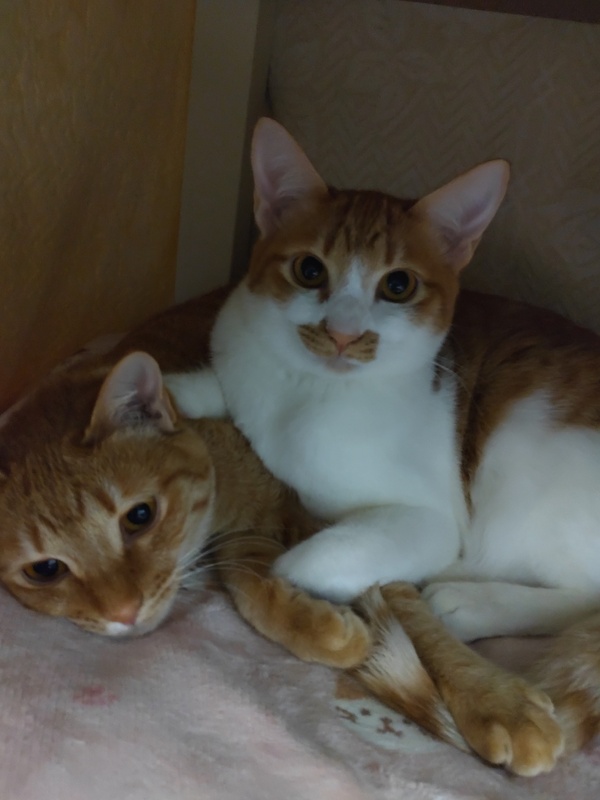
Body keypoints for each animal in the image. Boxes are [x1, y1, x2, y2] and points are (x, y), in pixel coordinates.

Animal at [0, 284, 577, 777]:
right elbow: (254, 580)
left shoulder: (355, 525)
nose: (123, 613)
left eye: (139, 516)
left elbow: (418, 622)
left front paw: (498, 704)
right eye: (45, 570)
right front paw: (321, 627)